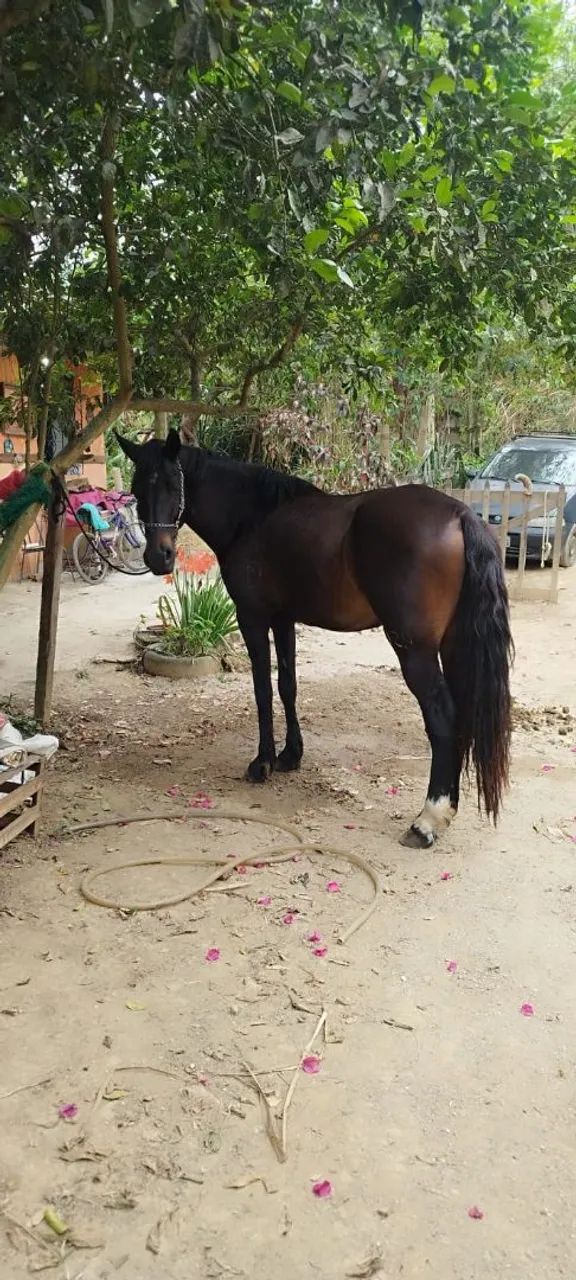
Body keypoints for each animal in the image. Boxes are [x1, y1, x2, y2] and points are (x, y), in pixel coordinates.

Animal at [117, 429, 512, 848]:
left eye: (172, 483)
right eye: (137, 489)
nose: (158, 557)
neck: (252, 516)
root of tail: (460, 516)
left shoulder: (252, 618)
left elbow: (262, 689)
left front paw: (262, 762)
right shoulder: (284, 619)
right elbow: (287, 685)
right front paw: (291, 756)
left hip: (415, 651)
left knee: (442, 716)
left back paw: (428, 819)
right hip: (453, 647)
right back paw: (447, 809)